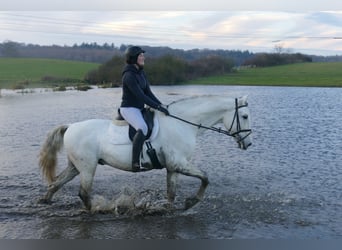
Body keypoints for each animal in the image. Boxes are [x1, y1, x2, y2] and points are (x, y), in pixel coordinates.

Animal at [38, 94, 251, 210]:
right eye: (245, 116)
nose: (248, 144)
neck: (182, 123)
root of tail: (70, 126)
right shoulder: (180, 163)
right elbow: (205, 177)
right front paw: (191, 202)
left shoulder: (173, 167)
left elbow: (171, 192)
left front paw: (172, 208)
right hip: (88, 168)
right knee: (83, 193)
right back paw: (95, 211)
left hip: (76, 167)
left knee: (56, 184)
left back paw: (45, 201)